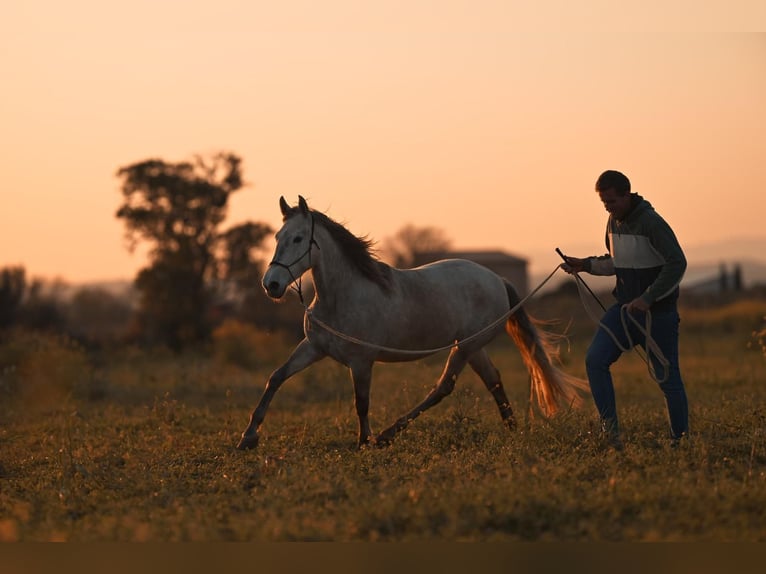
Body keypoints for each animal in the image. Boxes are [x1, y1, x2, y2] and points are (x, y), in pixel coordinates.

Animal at [237, 195, 589, 450]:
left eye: (298, 239)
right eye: (277, 236)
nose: (272, 285)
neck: (342, 296)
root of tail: (496, 279)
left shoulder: (361, 361)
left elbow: (361, 402)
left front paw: (364, 442)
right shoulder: (312, 348)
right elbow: (276, 377)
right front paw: (248, 437)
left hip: (466, 347)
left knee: (443, 387)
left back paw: (387, 435)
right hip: (473, 347)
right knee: (494, 381)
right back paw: (512, 430)